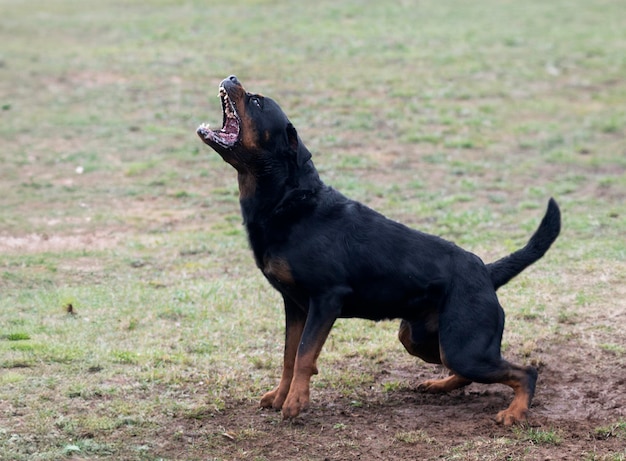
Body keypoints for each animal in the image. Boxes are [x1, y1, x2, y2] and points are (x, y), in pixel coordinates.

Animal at [197, 75, 560, 424]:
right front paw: (280, 396)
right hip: (421, 339)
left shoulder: (326, 299)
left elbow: (303, 356)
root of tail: (485, 270)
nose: (232, 77)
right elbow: (288, 355)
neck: (288, 200)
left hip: (462, 346)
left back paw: (514, 413)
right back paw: (439, 385)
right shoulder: (295, 305)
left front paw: (296, 403)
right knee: (466, 370)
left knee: (525, 372)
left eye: (256, 101)